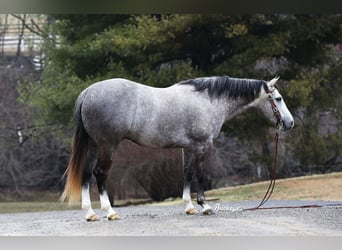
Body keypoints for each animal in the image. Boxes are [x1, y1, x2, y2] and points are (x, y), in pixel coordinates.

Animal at [60, 76, 294, 221]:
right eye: (278, 99)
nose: (290, 123)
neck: (209, 100)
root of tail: (88, 92)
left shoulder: (188, 148)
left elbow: (187, 174)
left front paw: (189, 207)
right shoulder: (201, 146)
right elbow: (200, 176)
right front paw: (205, 206)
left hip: (93, 145)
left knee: (86, 174)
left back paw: (90, 213)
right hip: (108, 145)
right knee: (100, 174)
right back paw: (109, 212)